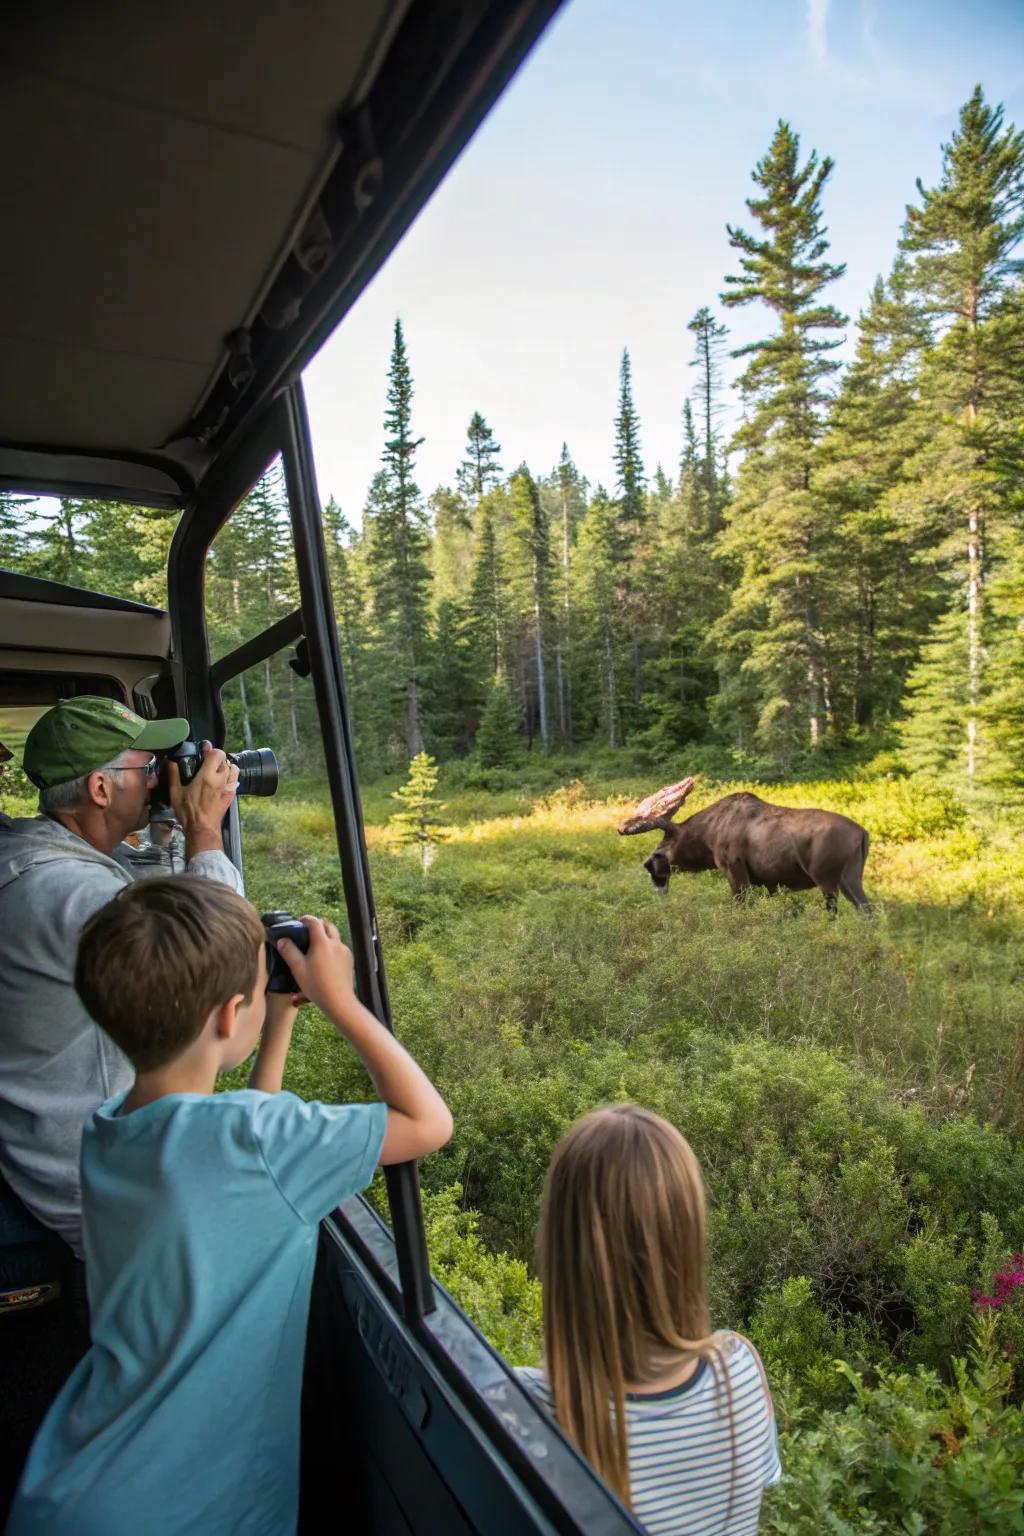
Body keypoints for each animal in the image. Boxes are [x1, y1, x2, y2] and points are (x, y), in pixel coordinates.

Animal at [617, 780, 872, 909]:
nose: (649, 864)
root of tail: (864, 834)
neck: (707, 839)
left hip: (827, 878)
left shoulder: (733, 868)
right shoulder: (767, 882)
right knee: (866, 908)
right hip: (850, 878)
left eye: (668, 838)